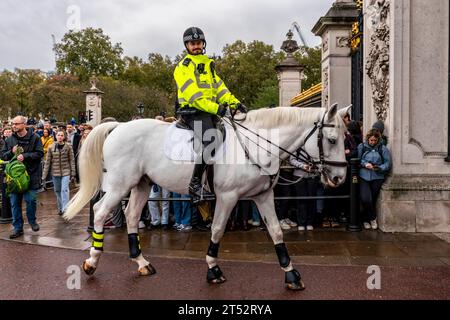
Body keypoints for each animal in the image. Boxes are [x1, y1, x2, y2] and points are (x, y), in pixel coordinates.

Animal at [65, 104, 350, 290]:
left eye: (344, 136)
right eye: (332, 139)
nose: (339, 178)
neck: (256, 145)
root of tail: (119, 126)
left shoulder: (263, 196)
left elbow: (276, 232)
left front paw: (290, 274)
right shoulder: (227, 197)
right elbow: (217, 229)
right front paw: (213, 269)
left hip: (142, 185)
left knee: (132, 215)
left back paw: (141, 262)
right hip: (119, 184)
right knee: (101, 211)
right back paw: (92, 260)